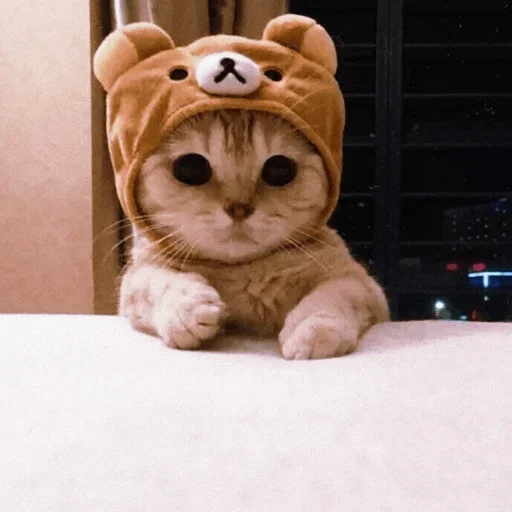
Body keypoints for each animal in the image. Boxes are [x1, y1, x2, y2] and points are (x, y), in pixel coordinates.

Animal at [118, 110, 389, 359]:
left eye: (279, 169)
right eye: (191, 167)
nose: (239, 208)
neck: (243, 273)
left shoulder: (361, 283)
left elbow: (334, 293)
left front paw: (315, 326)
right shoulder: (134, 280)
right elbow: (154, 282)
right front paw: (186, 305)